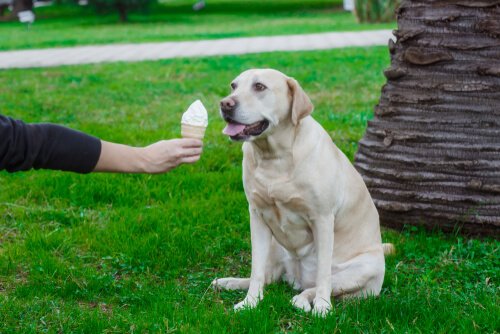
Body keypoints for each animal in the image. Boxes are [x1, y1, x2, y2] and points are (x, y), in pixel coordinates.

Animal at [213, 68, 392, 316]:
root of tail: (297, 280)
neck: (274, 157)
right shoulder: (256, 216)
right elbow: (256, 270)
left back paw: (303, 299)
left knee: (318, 285)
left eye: (259, 86)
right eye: (233, 86)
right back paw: (229, 282)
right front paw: (250, 302)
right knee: (268, 277)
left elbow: (324, 275)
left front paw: (323, 307)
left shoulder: (323, 219)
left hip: (364, 268)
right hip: (275, 246)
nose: (225, 104)